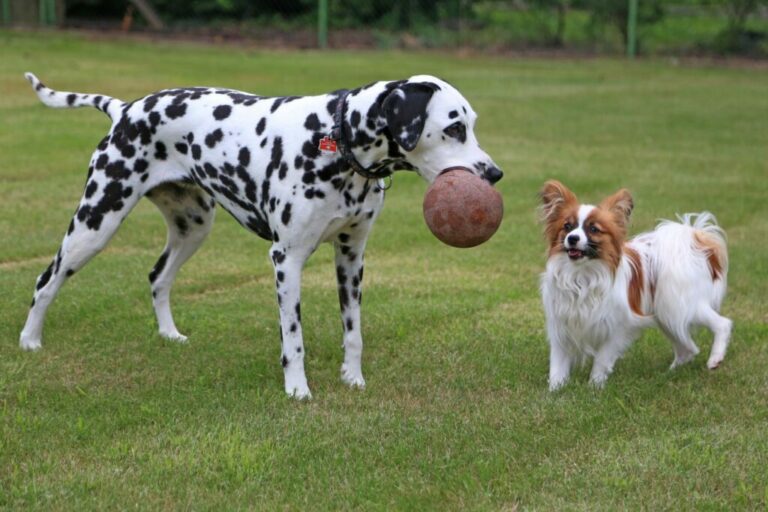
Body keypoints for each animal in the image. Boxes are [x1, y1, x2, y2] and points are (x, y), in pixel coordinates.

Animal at [19, 72, 504, 400]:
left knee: (158, 277)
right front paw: (298, 390)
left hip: (193, 227)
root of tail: (125, 110)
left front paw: (353, 378)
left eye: (471, 124)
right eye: (454, 127)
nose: (495, 174)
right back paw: (30, 342)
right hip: (95, 223)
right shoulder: (287, 261)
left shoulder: (351, 256)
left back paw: (169, 334)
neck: (334, 138)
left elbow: (354, 332)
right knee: (46, 281)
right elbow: (294, 339)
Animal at [540, 182, 732, 390]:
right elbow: (557, 365)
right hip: (667, 316)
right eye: (567, 227)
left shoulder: (618, 328)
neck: (582, 275)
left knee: (723, 324)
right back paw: (667, 375)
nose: (572, 238)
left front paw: (595, 387)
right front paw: (555, 390)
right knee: (688, 349)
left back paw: (715, 359)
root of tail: (697, 244)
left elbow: (601, 360)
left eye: (594, 229)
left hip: (682, 307)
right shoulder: (560, 327)